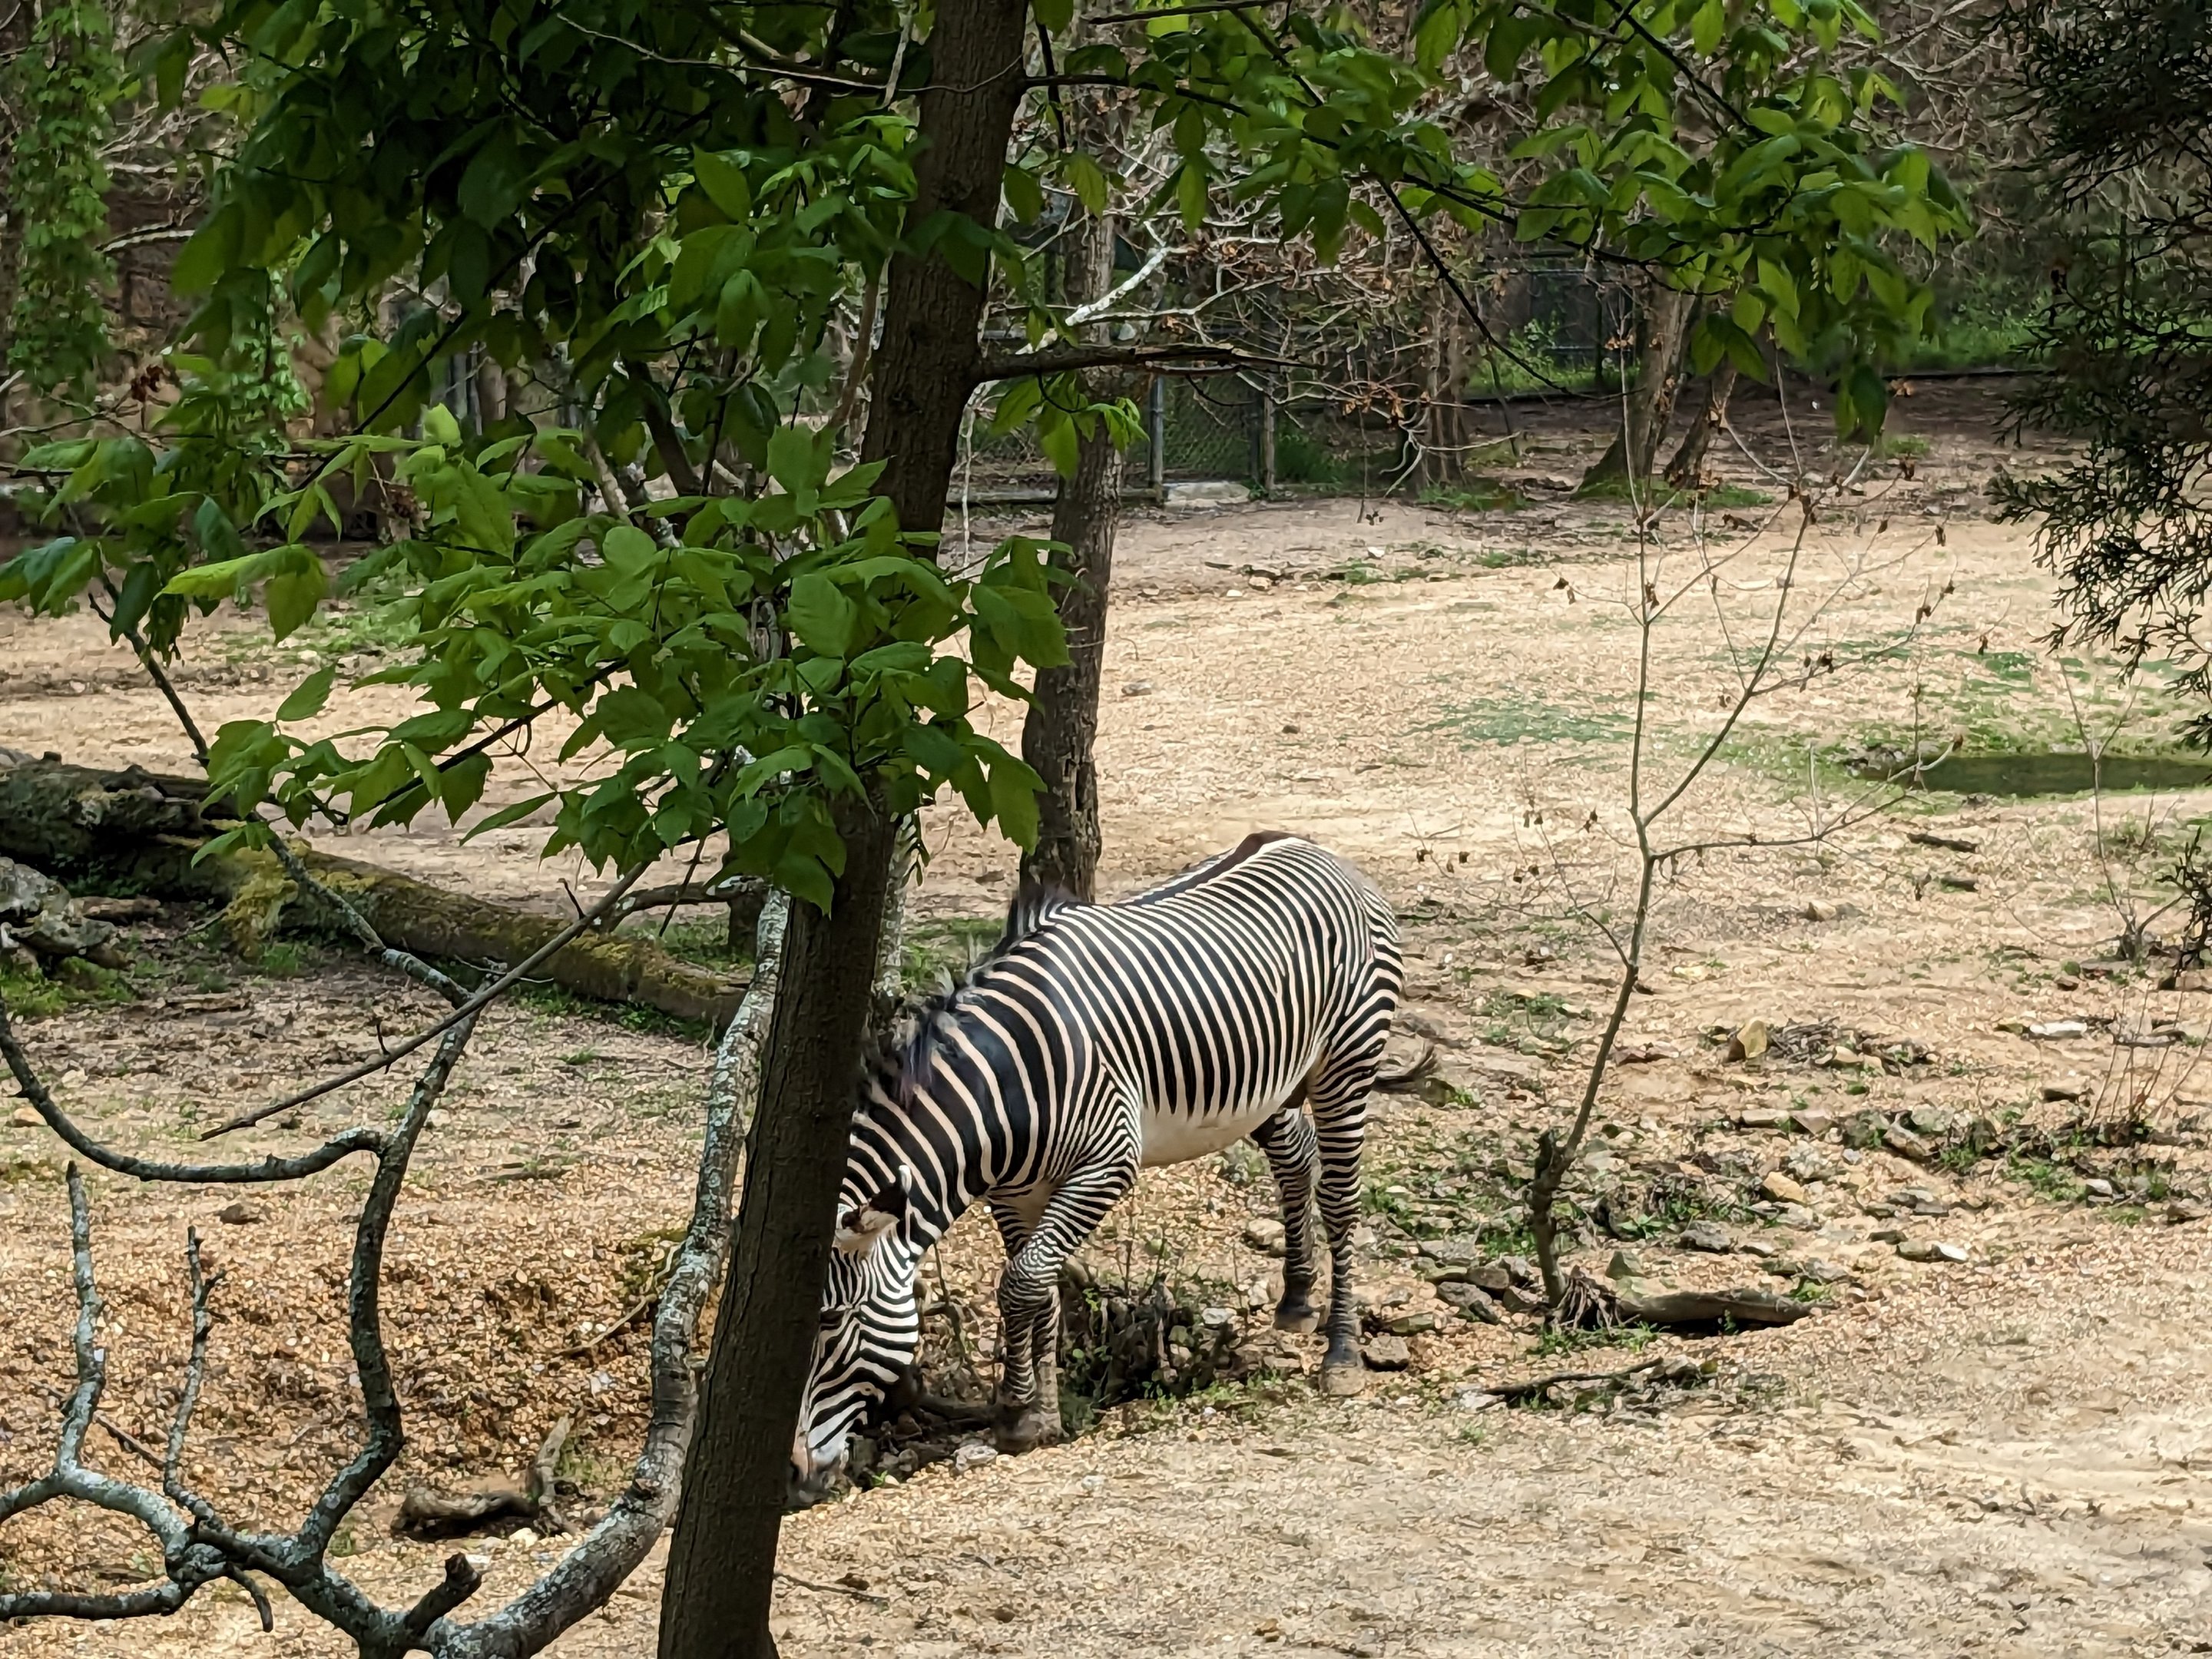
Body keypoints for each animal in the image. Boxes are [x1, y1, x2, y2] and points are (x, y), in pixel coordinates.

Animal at [792, 831, 1415, 1479]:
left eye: (830, 1321)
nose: (793, 1473)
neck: (1000, 1092)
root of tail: (1313, 848)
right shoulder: (1014, 1193)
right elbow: (1039, 1290)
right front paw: (1041, 1418)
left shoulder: (1107, 1163)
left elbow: (1021, 1283)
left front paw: (1014, 1409)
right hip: (1270, 1082)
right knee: (1297, 1156)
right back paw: (1296, 1299)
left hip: (1348, 1061)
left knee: (1340, 1198)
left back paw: (1341, 1354)